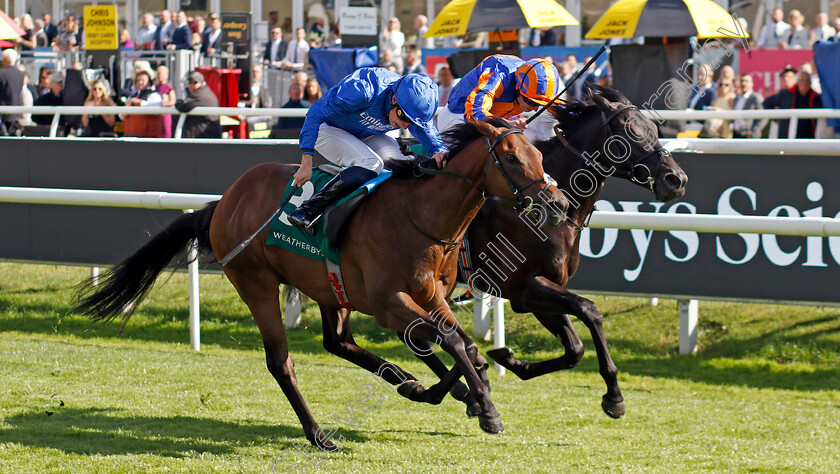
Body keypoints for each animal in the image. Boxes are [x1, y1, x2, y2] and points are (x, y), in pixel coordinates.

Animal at [75, 118, 568, 448]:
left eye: (542, 156)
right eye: (510, 158)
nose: (559, 204)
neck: (423, 216)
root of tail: (226, 199)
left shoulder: (434, 296)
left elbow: (459, 343)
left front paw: (464, 390)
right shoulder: (390, 302)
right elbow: (450, 342)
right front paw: (483, 405)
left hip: (330, 287)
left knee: (338, 342)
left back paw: (408, 383)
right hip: (255, 282)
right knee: (281, 361)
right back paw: (318, 434)